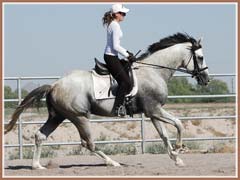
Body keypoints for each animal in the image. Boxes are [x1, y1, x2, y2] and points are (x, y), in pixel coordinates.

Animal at [4, 33, 209, 169]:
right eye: (200, 57)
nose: (206, 79)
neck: (154, 71)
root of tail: (54, 85)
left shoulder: (153, 113)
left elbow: (164, 135)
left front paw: (176, 158)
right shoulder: (155, 110)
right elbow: (179, 123)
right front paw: (179, 149)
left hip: (58, 116)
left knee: (40, 136)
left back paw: (37, 166)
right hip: (80, 117)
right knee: (88, 143)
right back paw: (113, 162)